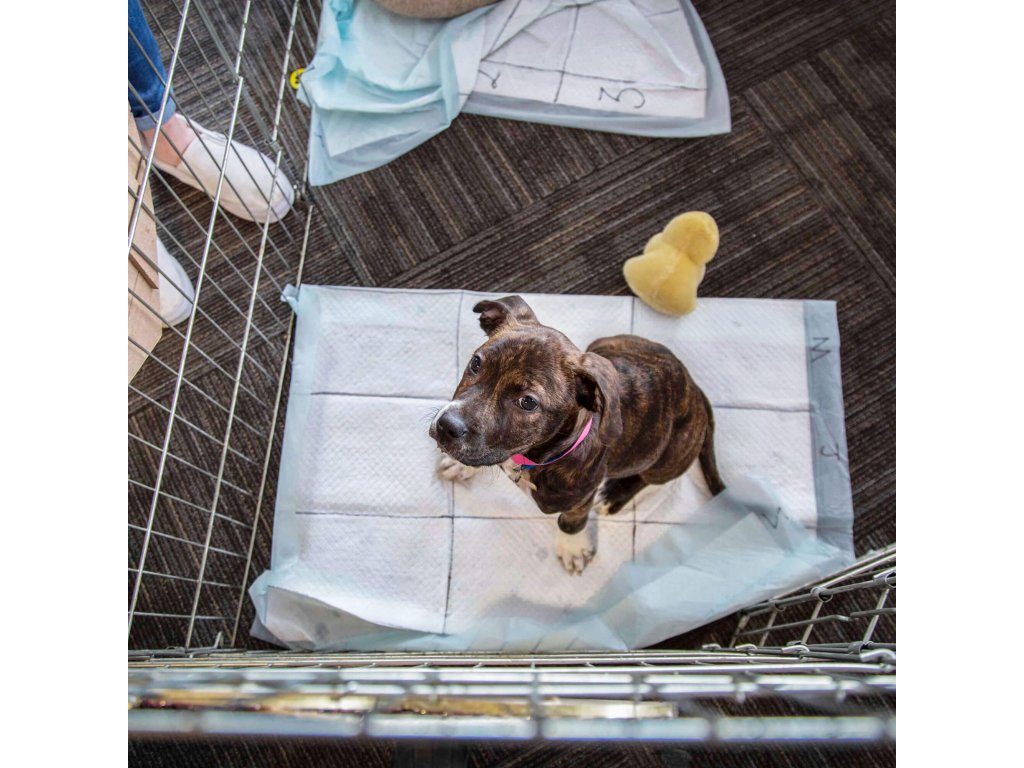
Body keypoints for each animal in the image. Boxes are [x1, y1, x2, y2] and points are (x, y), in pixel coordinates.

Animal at [429, 295, 725, 575]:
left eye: (528, 402)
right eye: (476, 363)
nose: (447, 425)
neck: (531, 457)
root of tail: (694, 390)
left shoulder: (580, 499)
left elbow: (570, 523)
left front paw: (572, 549)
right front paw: (459, 465)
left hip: (667, 457)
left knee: (648, 478)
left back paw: (614, 496)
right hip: (604, 346)